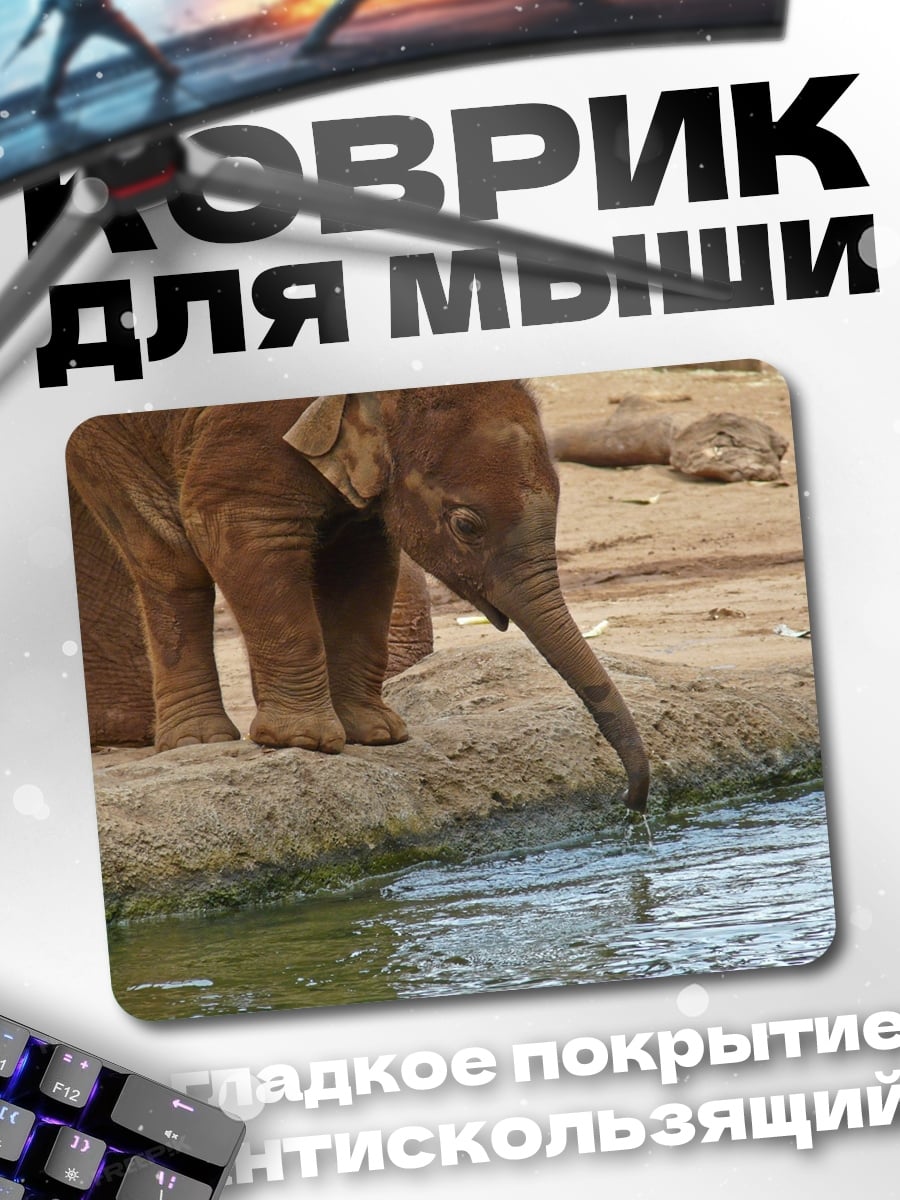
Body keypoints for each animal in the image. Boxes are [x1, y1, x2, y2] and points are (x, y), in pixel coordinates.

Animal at [66, 381, 649, 811]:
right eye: (467, 525)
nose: (632, 805)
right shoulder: (251, 431)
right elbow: (234, 528)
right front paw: (305, 743)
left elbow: (362, 563)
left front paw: (376, 736)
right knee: (170, 559)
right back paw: (199, 743)